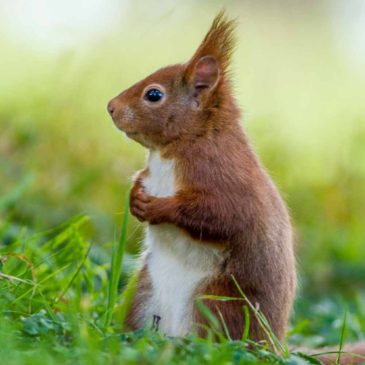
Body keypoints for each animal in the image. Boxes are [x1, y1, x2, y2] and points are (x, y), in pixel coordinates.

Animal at [106, 11, 362, 362]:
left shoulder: (227, 179)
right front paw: (135, 199)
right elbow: (139, 180)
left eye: (154, 95)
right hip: (142, 294)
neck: (173, 150)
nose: (110, 107)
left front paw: (159, 207)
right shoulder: (150, 173)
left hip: (216, 301)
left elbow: (222, 215)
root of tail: (274, 347)